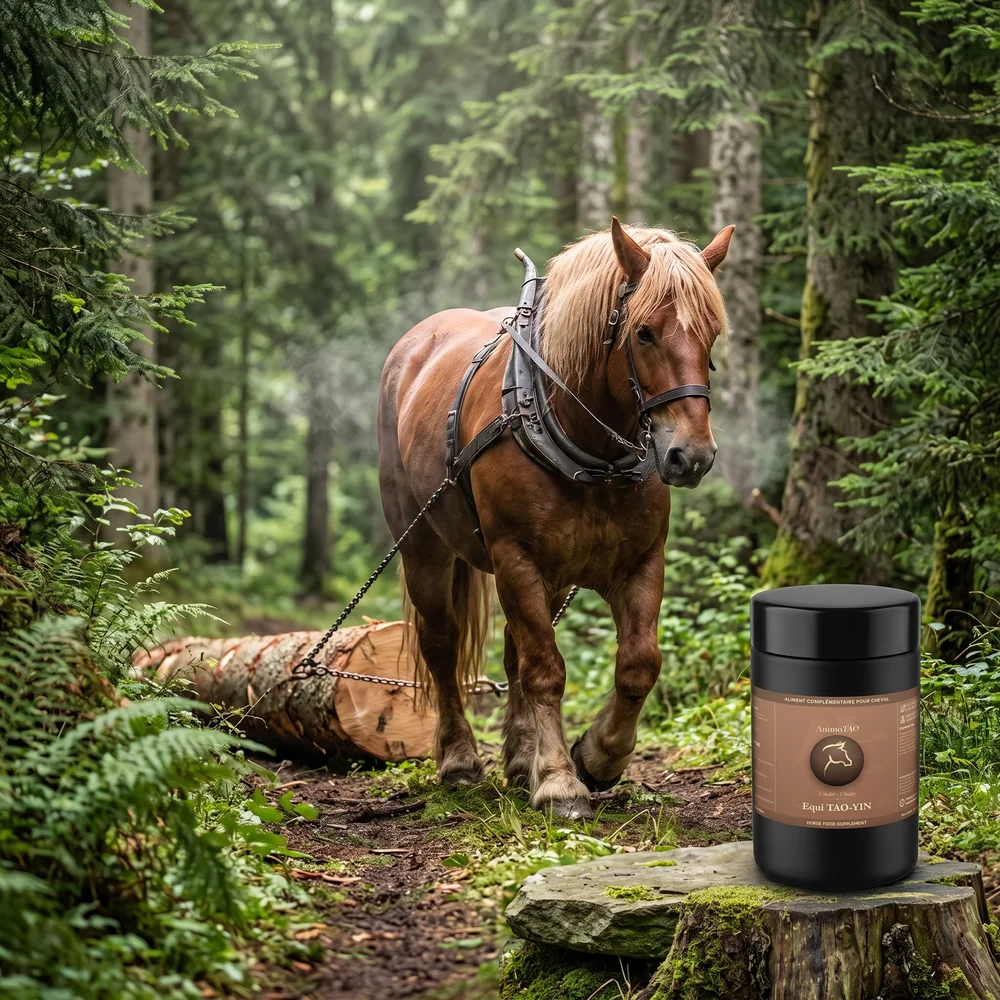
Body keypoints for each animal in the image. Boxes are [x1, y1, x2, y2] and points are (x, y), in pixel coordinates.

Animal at [378, 217, 733, 818]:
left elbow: (638, 664)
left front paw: (596, 757)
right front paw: (560, 783)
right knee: (442, 643)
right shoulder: (515, 558)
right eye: (644, 333)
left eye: (711, 334)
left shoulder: (640, 563)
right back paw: (461, 760)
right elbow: (546, 671)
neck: (589, 452)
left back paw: (522, 758)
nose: (692, 456)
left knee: (513, 653)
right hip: (424, 543)